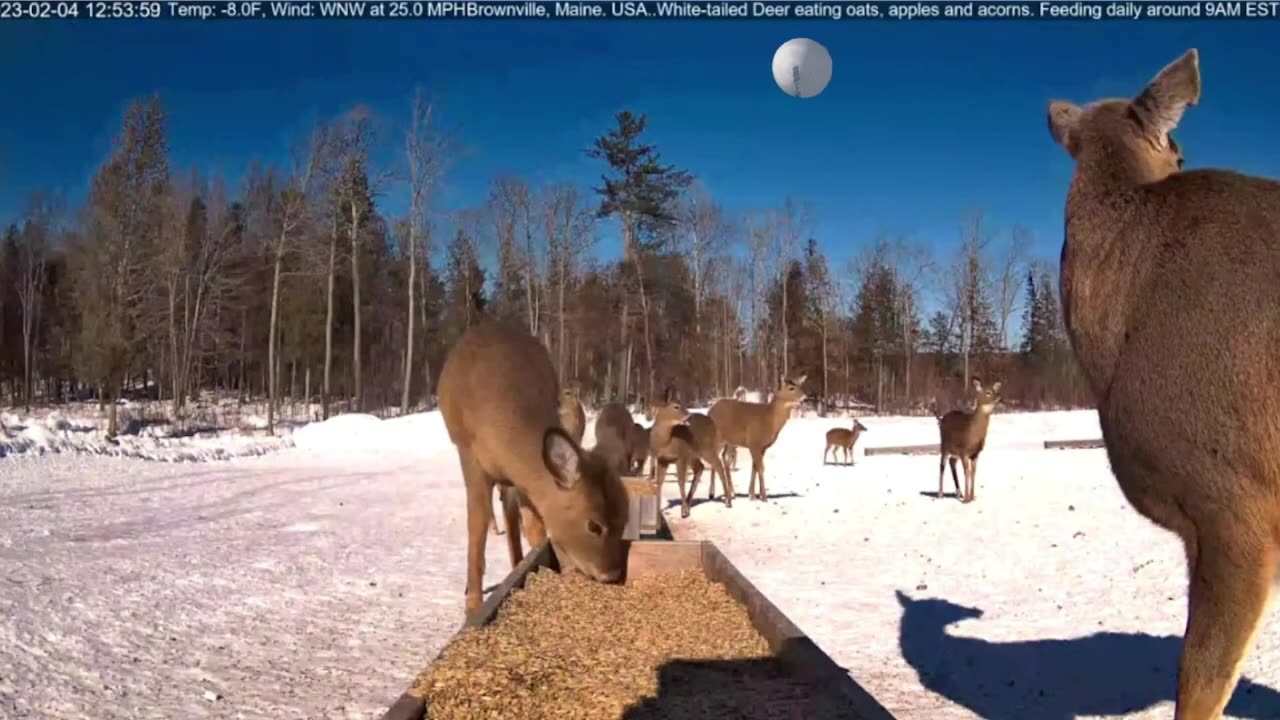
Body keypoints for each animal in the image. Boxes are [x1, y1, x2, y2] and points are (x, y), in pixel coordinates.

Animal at [435, 316, 629, 614]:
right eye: (594, 525)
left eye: (625, 520)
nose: (612, 574)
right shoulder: (471, 459)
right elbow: (476, 530)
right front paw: (473, 606)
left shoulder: (525, 482)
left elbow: (535, 529)